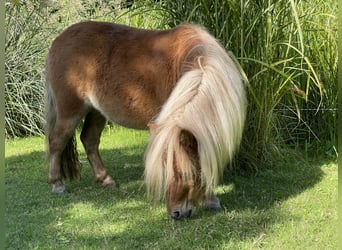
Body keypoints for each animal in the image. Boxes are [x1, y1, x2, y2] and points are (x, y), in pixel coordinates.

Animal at [45, 21, 246, 219]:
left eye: (184, 173)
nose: (175, 213)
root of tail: (58, 40)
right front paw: (211, 200)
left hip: (96, 112)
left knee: (89, 140)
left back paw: (106, 180)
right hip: (70, 111)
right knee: (57, 141)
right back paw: (57, 184)